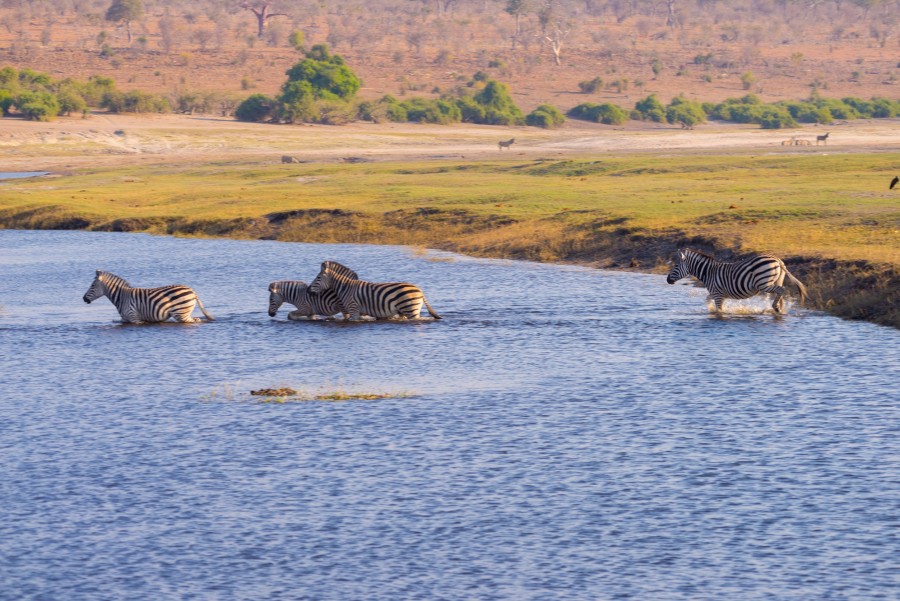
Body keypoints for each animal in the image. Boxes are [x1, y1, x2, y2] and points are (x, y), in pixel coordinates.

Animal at [83, 270, 216, 322]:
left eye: (92, 285)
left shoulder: (134, 318)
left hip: (181, 313)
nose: (83, 298)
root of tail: (192, 291)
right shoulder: (125, 319)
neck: (122, 297)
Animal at [310, 260, 442, 322]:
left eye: (318, 277)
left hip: (411, 310)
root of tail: (420, 291)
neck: (346, 288)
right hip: (406, 311)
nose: (309, 290)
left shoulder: (353, 310)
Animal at [664, 248, 812, 314]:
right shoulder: (717, 294)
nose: (667, 280)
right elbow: (707, 300)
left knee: (781, 290)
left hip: (764, 283)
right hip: (776, 280)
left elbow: (719, 310)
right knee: (780, 292)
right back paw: (780, 309)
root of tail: (778, 260)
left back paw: (776, 307)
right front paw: (710, 309)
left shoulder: (717, 294)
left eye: (676, 266)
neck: (709, 272)